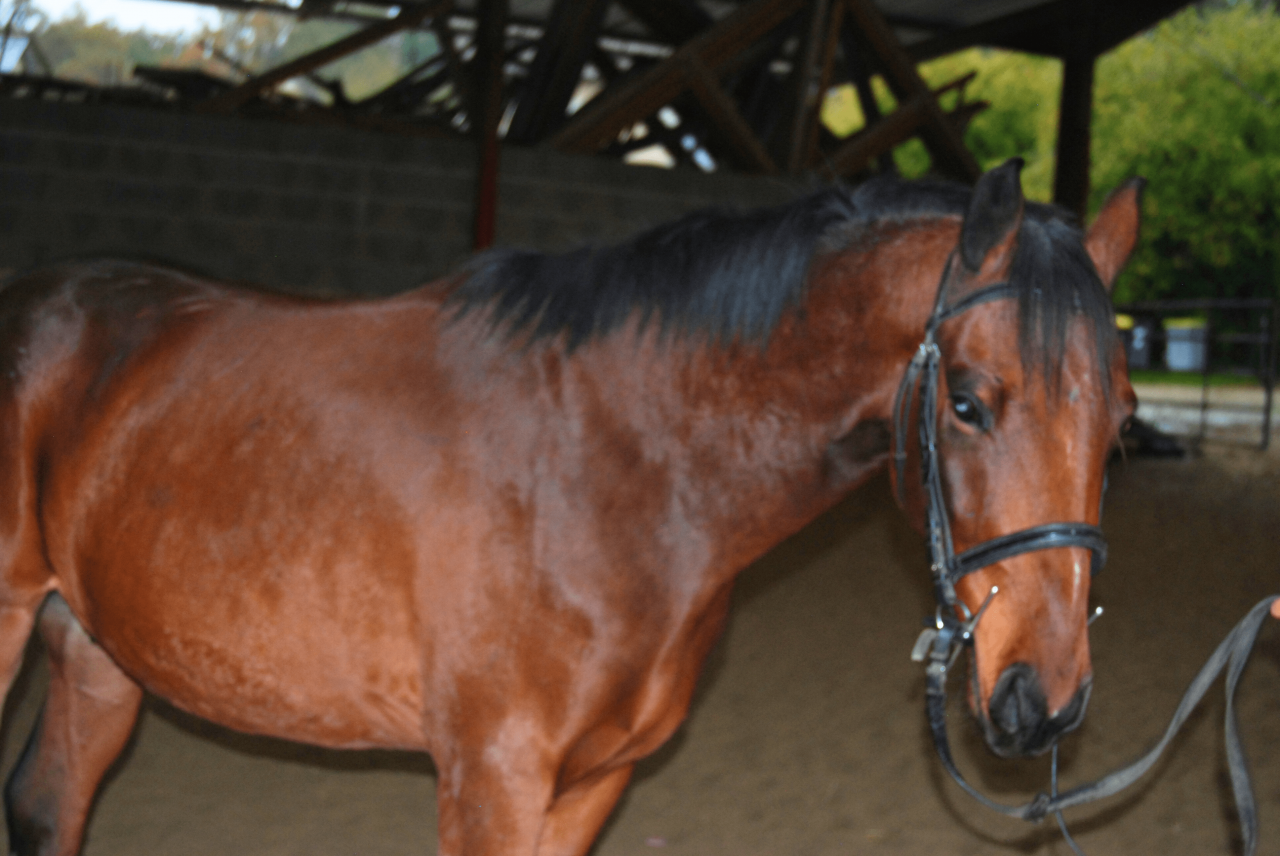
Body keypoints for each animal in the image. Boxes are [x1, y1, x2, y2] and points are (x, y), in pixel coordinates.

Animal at [0, 159, 1140, 856]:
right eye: (968, 401)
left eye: (1123, 418)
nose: (1043, 697)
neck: (610, 469)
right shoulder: (492, 777)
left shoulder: (595, 779)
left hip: (97, 654)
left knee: (47, 808)